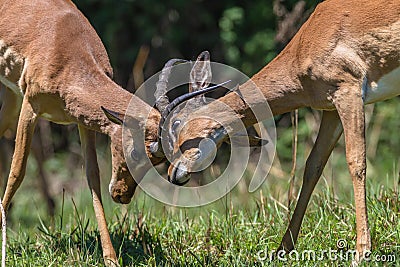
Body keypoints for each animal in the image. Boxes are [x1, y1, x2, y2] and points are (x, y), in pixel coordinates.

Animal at [155, 0, 400, 264]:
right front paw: (282, 249)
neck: (307, 43)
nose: (172, 173)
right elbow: (313, 166)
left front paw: (362, 252)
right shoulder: (331, 110)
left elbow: (356, 162)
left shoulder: (348, 92)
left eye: (176, 122)